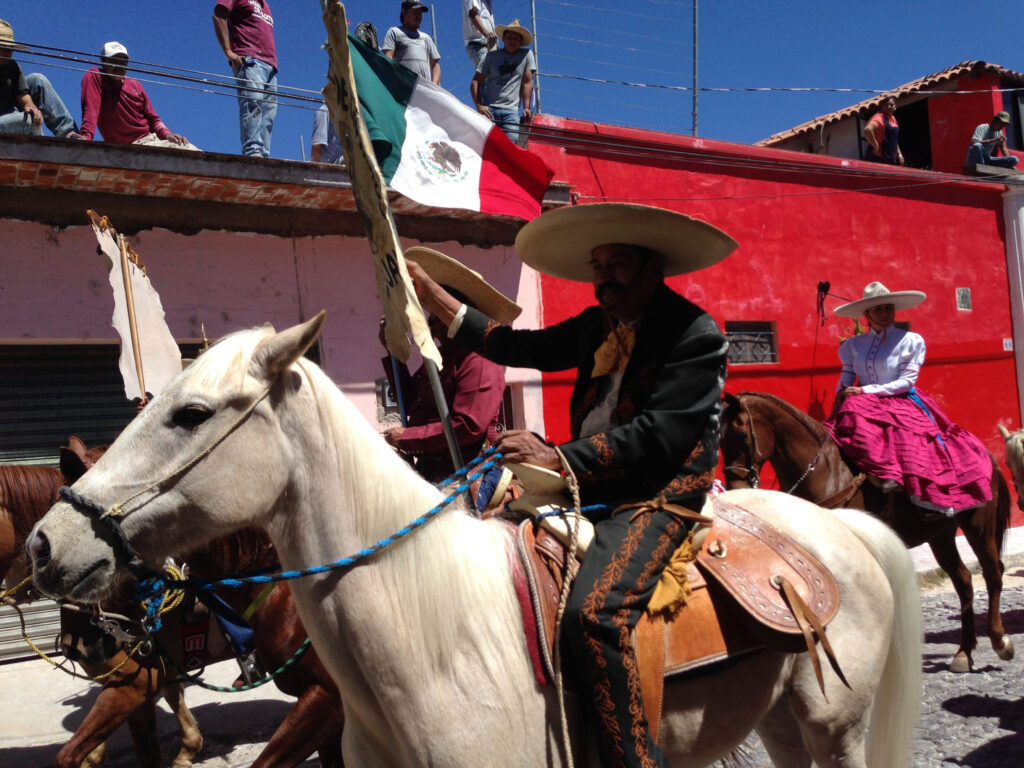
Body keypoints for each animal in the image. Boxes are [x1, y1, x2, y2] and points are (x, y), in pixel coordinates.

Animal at [724, 391, 1011, 671]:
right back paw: (964, 652)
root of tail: (987, 455)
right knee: (963, 580)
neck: (825, 470)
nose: (733, 488)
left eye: (741, 434)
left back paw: (999, 641)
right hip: (940, 535)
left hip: (979, 526)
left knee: (992, 572)